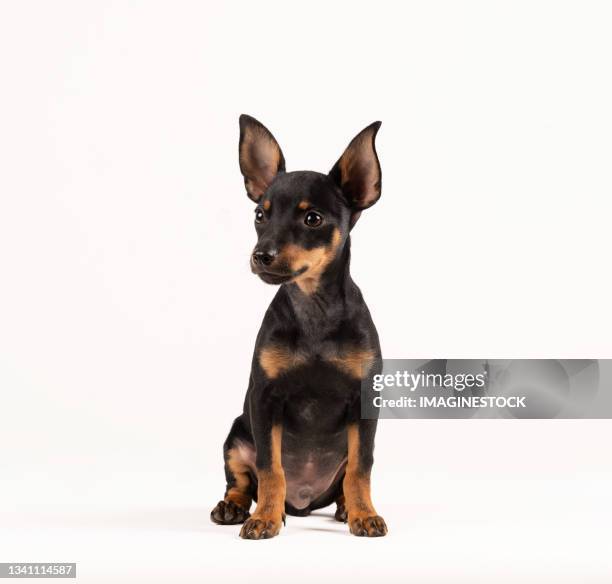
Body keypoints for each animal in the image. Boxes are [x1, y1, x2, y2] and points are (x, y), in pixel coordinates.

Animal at [209, 114, 388, 540]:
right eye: (259, 216)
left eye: (313, 219)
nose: (261, 255)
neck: (314, 309)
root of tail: (304, 503)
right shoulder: (265, 400)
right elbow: (270, 469)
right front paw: (265, 519)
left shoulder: (364, 402)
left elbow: (361, 469)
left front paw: (365, 515)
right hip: (237, 436)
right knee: (243, 481)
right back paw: (234, 508)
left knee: (345, 479)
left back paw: (346, 509)